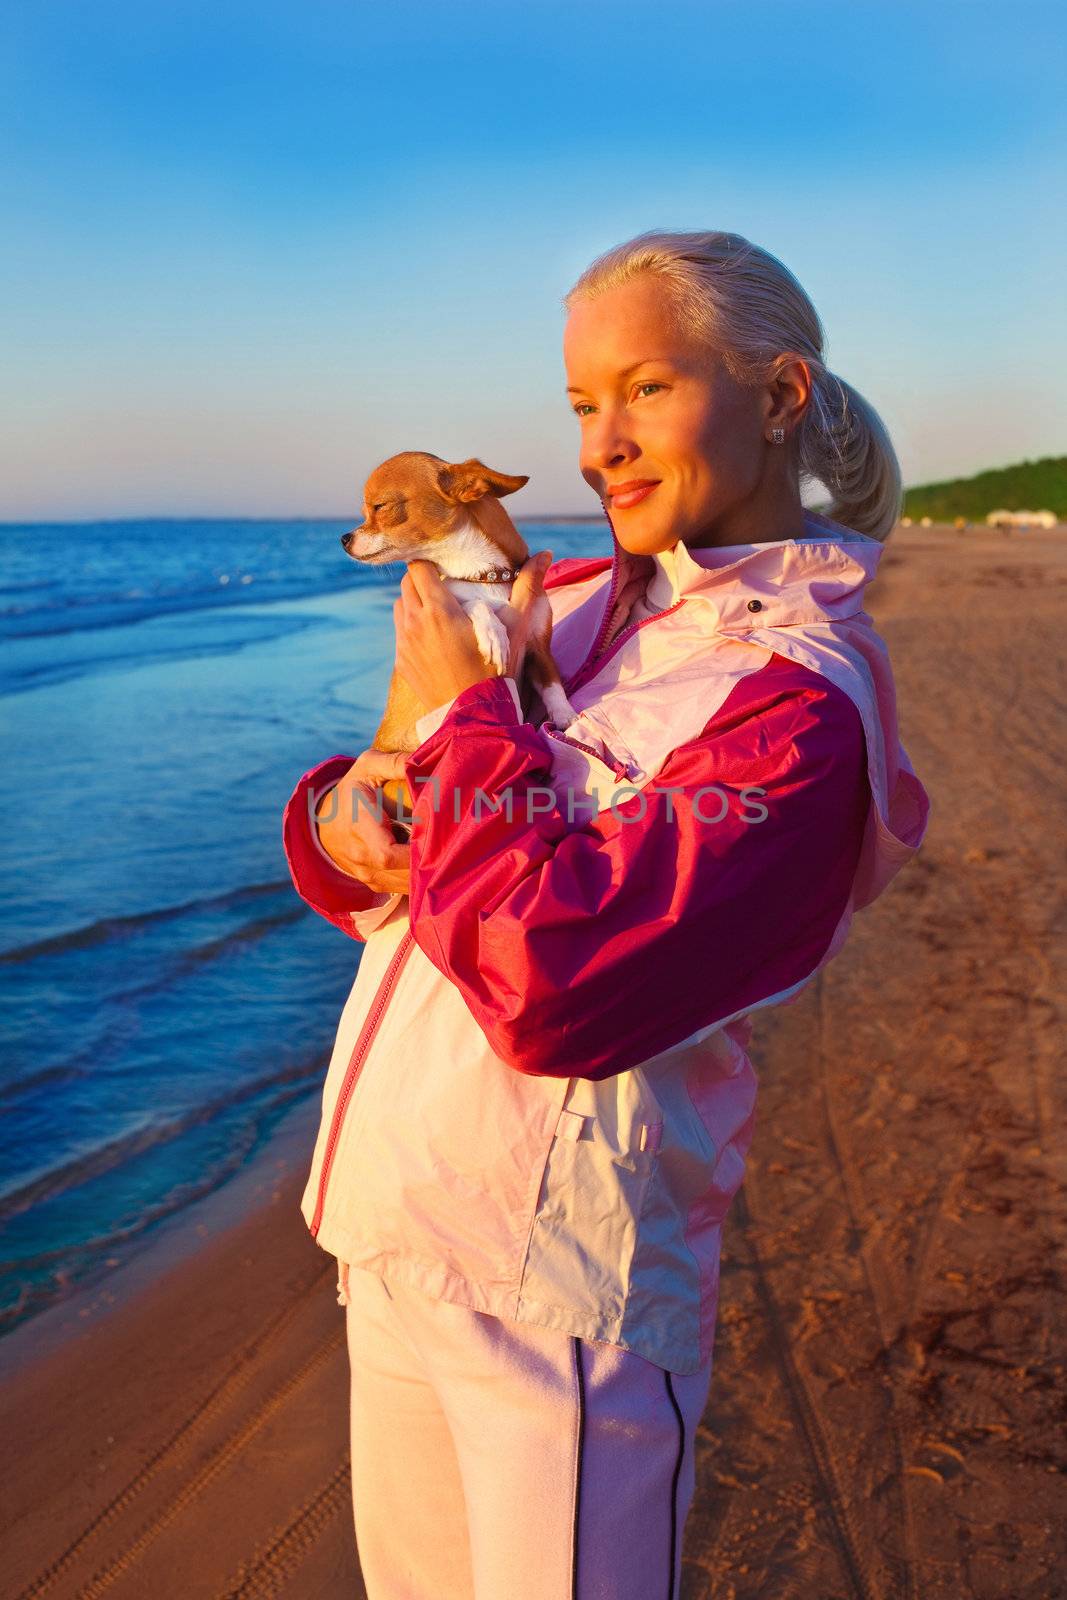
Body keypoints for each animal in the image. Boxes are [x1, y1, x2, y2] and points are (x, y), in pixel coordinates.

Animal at [340, 457, 575, 819]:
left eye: (380, 507)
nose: (344, 538)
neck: (486, 575)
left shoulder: (540, 647)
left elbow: (552, 685)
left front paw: (566, 716)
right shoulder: (456, 595)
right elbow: (473, 602)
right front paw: (493, 633)